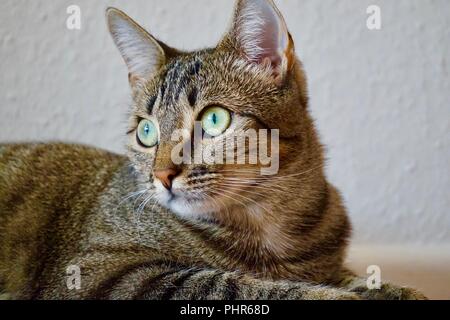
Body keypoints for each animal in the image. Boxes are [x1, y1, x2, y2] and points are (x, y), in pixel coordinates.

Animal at [0, 0, 426, 300]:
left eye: (215, 119)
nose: (161, 175)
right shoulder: (101, 272)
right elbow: (229, 283)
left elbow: (358, 279)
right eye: (147, 131)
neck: (269, 222)